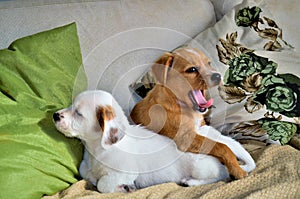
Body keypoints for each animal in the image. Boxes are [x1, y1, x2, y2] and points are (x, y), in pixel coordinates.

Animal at [52, 90, 233, 193]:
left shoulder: (126, 172)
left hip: (200, 167)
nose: (54, 115)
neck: (96, 151)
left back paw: (191, 182)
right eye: (71, 106)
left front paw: (125, 188)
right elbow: (86, 173)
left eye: (78, 113)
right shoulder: (85, 167)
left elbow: (102, 184)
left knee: (220, 175)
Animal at [130, 46, 254, 179]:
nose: (218, 76)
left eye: (209, 63)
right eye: (192, 69)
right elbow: (221, 146)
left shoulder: (202, 127)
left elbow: (225, 143)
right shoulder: (185, 138)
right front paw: (237, 169)